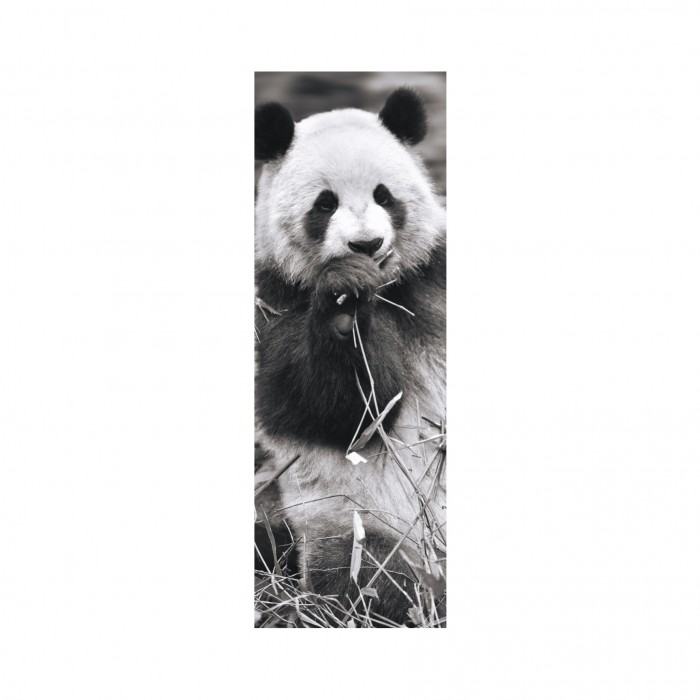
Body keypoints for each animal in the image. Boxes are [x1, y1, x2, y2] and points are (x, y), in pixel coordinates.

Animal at [254, 87, 446, 626]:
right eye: (325, 203)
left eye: (384, 195)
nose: (366, 244)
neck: (388, 287)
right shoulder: (274, 301)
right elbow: (337, 411)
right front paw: (344, 307)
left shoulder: (437, 276)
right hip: (353, 521)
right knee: (376, 579)